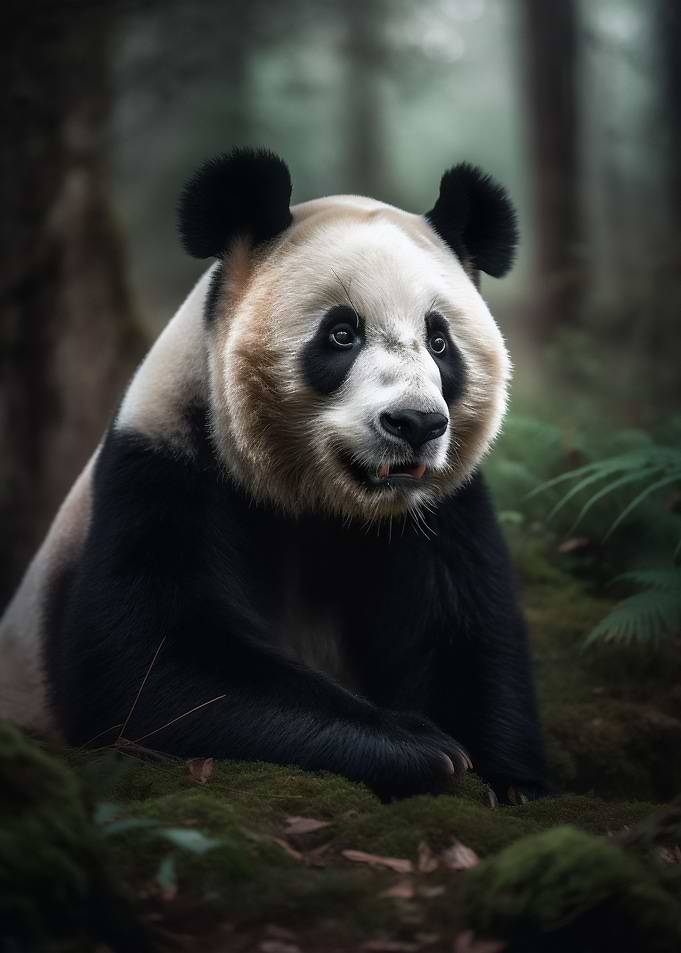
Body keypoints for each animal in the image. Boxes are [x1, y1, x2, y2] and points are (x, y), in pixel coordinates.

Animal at [0, 148, 546, 801]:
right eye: (342, 333)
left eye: (440, 342)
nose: (414, 422)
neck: (324, 504)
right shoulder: (166, 466)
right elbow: (151, 666)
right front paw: (420, 746)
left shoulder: (442, 511)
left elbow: (466, 638)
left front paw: (503, 780)